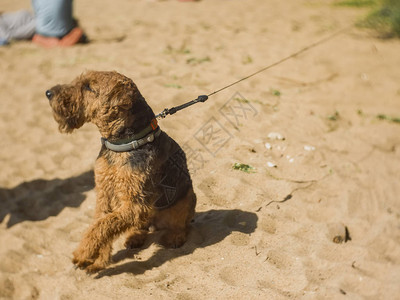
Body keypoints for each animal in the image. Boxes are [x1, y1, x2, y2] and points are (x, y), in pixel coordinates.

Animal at [46, 71, 196, 274]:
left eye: (88, 87)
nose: (48, 93)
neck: (123, 144)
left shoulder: (134, 203)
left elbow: (101, 226)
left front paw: (83, 254)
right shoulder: (104, 194)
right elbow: (102, 224)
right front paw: (97, 261)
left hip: (186, 198)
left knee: (182, 224)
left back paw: (174, 237)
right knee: (141, 225)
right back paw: (134, 237)